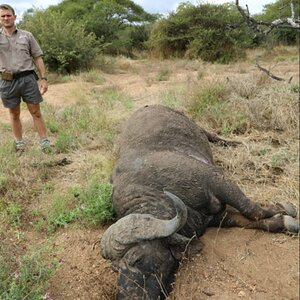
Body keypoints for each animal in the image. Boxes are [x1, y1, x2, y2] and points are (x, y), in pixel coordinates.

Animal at [100, 104, 298, 298]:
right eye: (115, 269)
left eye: (136, 259)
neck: (155, 190)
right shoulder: (211, 217)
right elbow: (246, 220)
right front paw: (282, 221)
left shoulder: (216, 180)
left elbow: (251, 209)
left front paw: (284, 208)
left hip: (198, 128)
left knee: (211, 135)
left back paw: (233, 142)